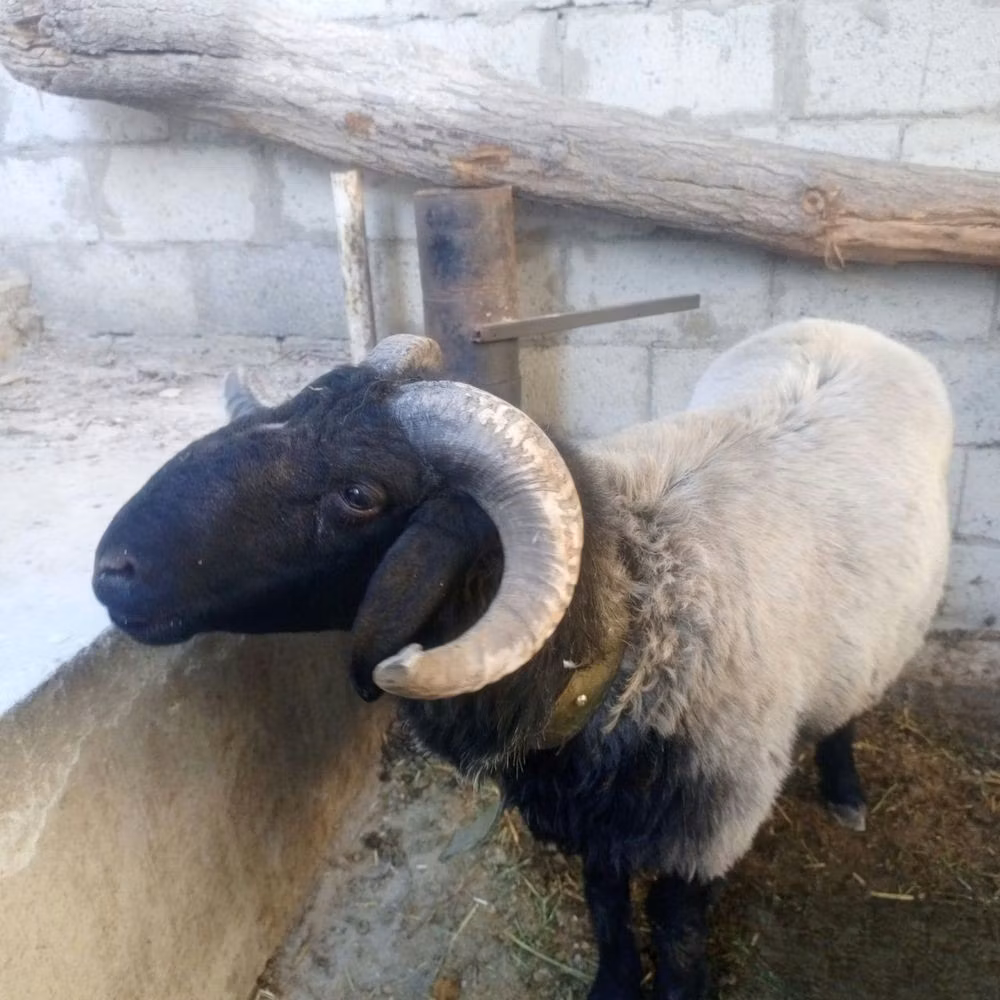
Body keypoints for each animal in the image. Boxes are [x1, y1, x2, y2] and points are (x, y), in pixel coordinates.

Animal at [92, 319, 952, 999]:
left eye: (361, 496)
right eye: (285, 411)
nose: (110, 569)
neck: (639, 624)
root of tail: (848, 326)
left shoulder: (705, 833)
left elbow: (677, 941)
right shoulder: (593, 821)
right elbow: (607, 908)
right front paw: (612, 988)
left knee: (849, 710)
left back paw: (845, 789)